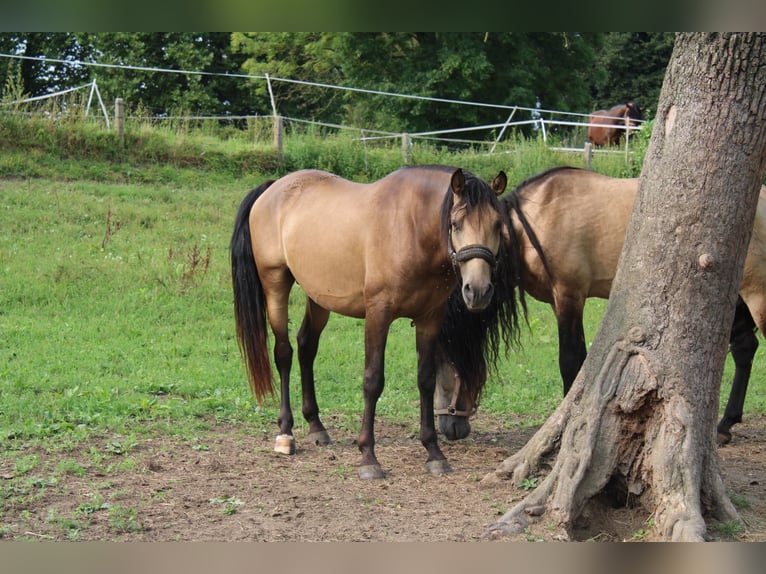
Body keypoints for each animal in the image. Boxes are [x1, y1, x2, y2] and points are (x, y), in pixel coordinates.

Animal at [231, 164, 524, 480]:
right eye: (456, 224)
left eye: (498, 225)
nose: (478, 290)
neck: (411, 228)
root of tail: (274, 188)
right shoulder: (378, 314)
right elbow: (373, 381)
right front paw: (368, 457)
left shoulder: (429, 319)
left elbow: (426, 380)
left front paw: (434, 452)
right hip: (275, 284)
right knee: (284, 353)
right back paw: (286, 433)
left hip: (319, 297)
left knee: (307, 347)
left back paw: (316, 427)